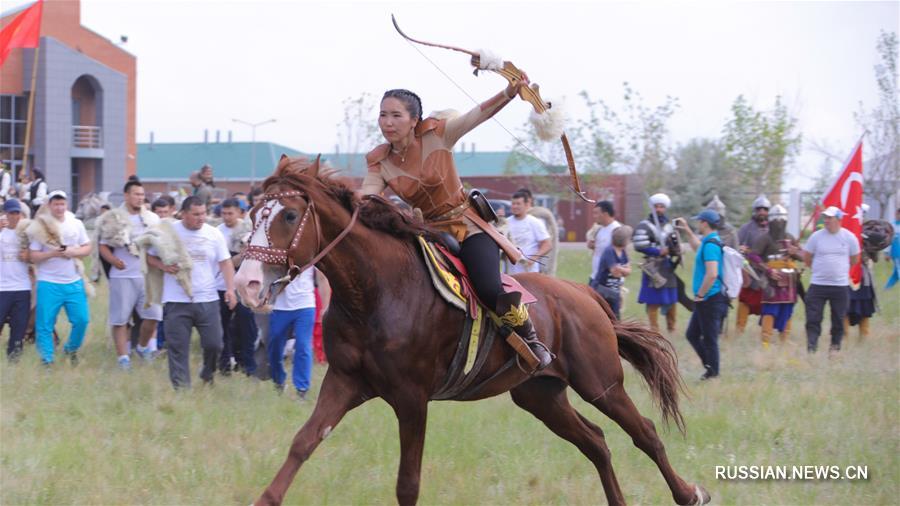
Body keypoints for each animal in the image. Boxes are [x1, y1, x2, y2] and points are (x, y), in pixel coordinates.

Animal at [234, 156, 712, 504]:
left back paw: (689, 493)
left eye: (289, 214)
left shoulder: (412, 398)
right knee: (595, 442)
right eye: (254, 213)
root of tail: (585, 294)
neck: (375, 291)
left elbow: (407, 483)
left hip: (601, 383)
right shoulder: (344, 380)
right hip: (540, 394)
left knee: (645, 433)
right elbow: (303, 443)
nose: (246, 284)